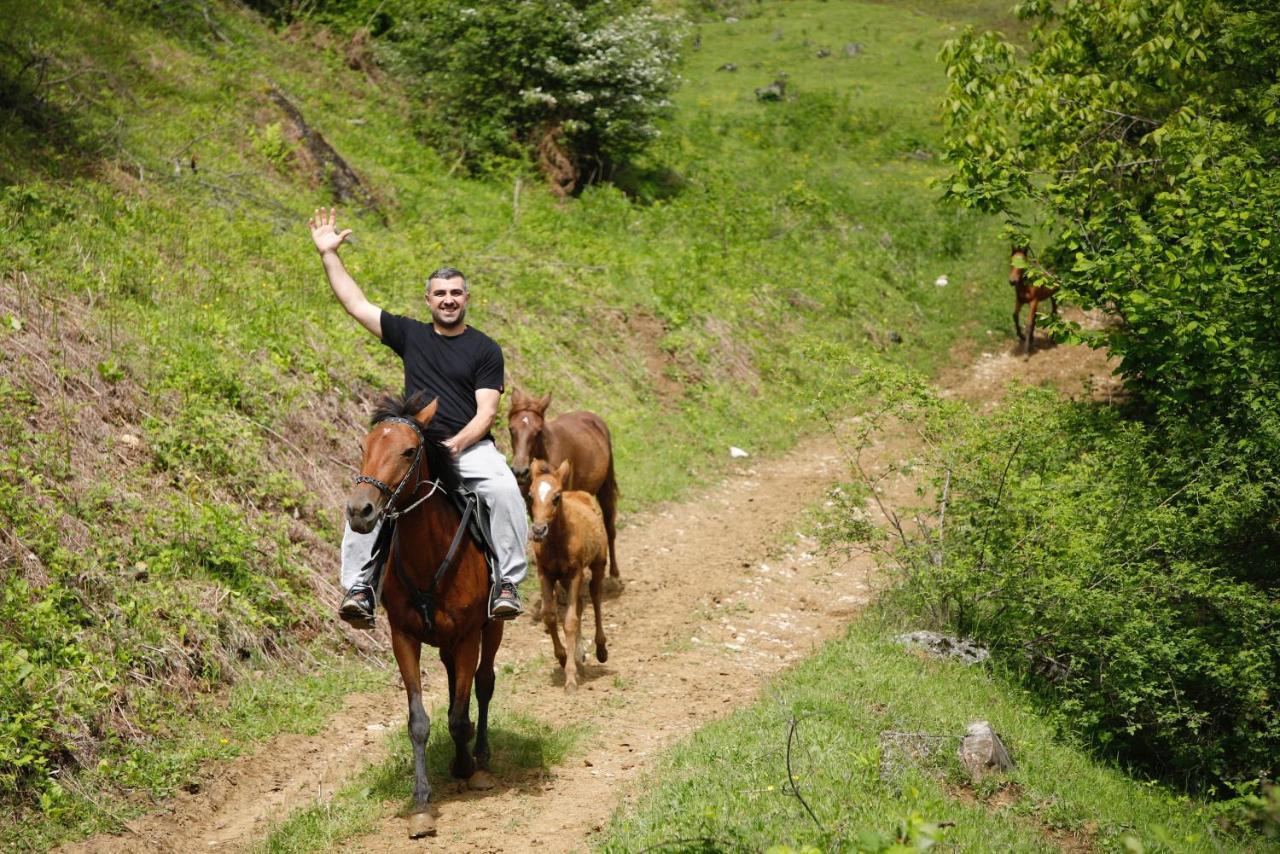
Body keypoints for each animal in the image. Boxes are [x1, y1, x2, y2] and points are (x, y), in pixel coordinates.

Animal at [345, 396, 504, 839]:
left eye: (408, 451)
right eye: (364, 446)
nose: (360, 510)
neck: (427, 554)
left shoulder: (468, 637)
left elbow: (461, 714)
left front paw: (466, 766)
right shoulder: (404, 638)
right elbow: (419, 721)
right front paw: (421, 805)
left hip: (492, 628)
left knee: (484, 684)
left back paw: (481, 759)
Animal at [506, 391, 622, 581]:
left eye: (538, 431)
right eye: (511, 429)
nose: (520, 471)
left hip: (604, 489)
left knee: (609, 526)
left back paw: (614, 572)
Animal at [529, 458, 609, 691]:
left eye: (556, 497)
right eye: (530, 495)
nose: (538, 530)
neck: (557, 542)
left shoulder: (575, 573)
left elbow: (570, 621)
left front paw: (571, 678)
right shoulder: (545, 574)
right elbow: (549, 616)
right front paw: (564, 657)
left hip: (598, 563)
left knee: (596, 598)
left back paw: (601, 649)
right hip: (563, 579)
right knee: (581, 604)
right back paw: (580, 654)